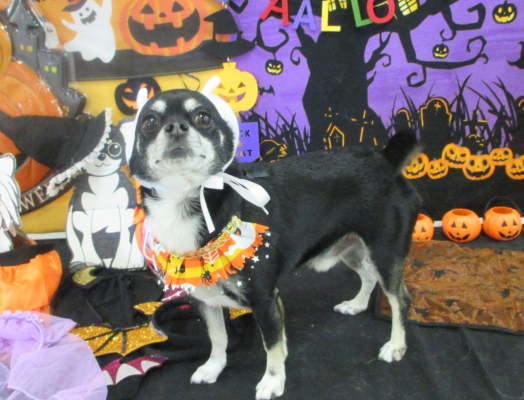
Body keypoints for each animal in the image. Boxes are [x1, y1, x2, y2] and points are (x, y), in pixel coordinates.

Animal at [129, 88, 421, 399]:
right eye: (149, 122)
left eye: (203, 118)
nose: (175, 127)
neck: (186, 201)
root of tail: (386, 161)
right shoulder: (208, 300)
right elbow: (218, 338)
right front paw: (214, 367)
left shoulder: (264, 300)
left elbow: (271, 346)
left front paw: (273, 380)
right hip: (352, 249)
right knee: (368, 276)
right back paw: (357, 305)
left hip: (385, 252)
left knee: (400, 298)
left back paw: (396, 345)